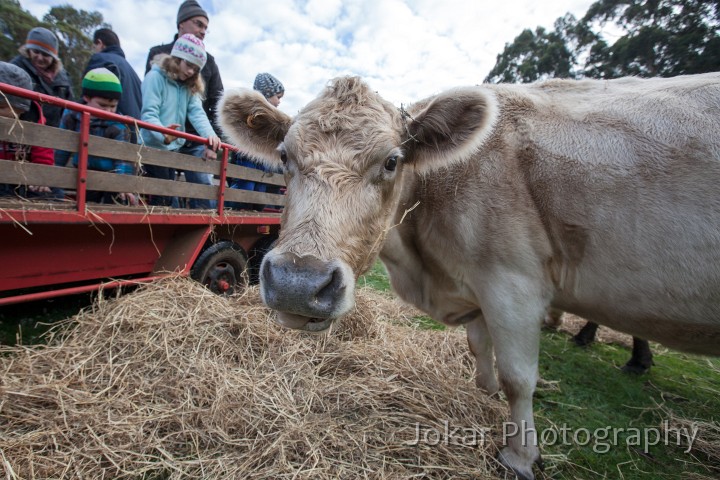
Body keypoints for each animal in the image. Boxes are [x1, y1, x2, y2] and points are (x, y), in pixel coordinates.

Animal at [219, 75, 720, 480]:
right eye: (283, 155)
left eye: (392, 161)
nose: (297, 283)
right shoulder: (478, 284)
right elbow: (481, 346)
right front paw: (485, 391)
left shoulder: (513, 283)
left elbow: (520, 377)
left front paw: (519, 456)